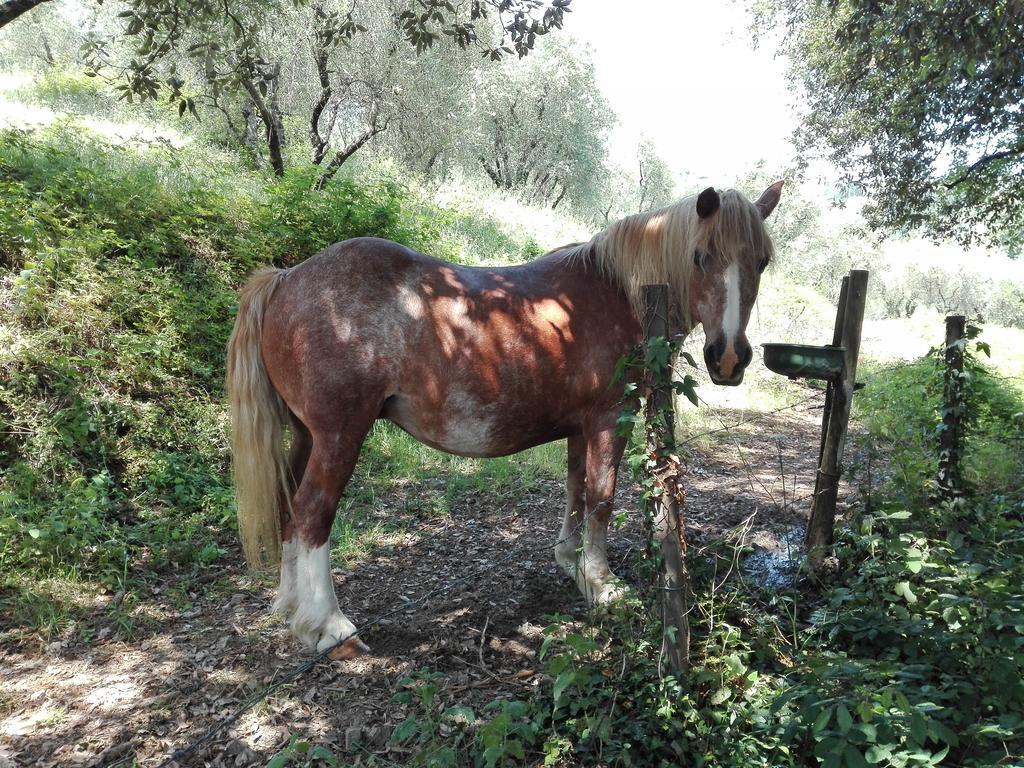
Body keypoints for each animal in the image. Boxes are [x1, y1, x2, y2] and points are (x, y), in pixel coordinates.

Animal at [226, 182, 782, 663]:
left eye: (762, 261)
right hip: (340, 436)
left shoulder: (579, 427)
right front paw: (602, 584)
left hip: (307, 436)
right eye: (700, 256)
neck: (620, 291)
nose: (728, 357)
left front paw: (571, 564)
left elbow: (576, 491)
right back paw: (329, 627)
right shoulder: (608, 420)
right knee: (312, 515)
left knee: (289, 511)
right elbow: (602, 498)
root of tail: (286, 279)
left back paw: (291, 610)